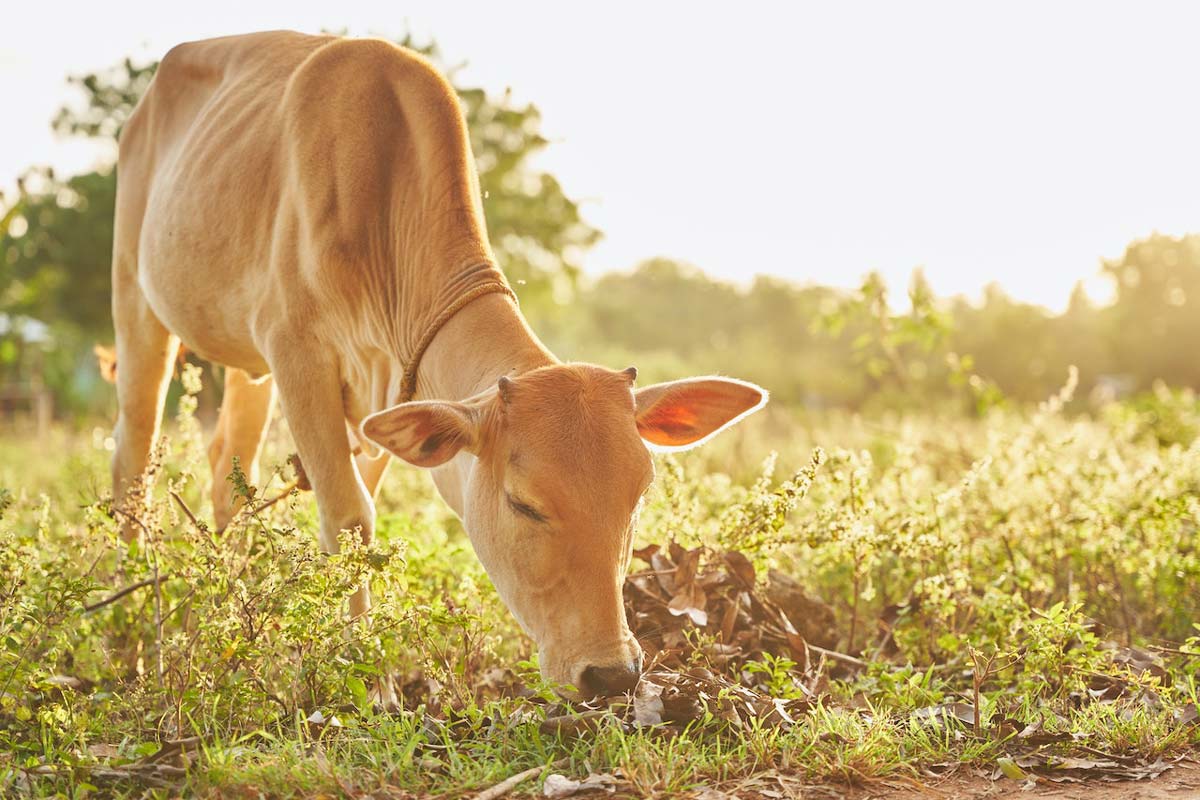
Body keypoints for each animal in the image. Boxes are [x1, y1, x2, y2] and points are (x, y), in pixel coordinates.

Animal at [114, 31, 768, 695]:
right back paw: (132, 638)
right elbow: (350, 518)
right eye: (523, 503)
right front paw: (366, 675)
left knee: (229, 469)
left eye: (638, 496)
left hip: (248, 367)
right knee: (132, 461)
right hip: (136, 298)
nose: (611, 675)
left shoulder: (391, 392)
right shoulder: (297, 352)